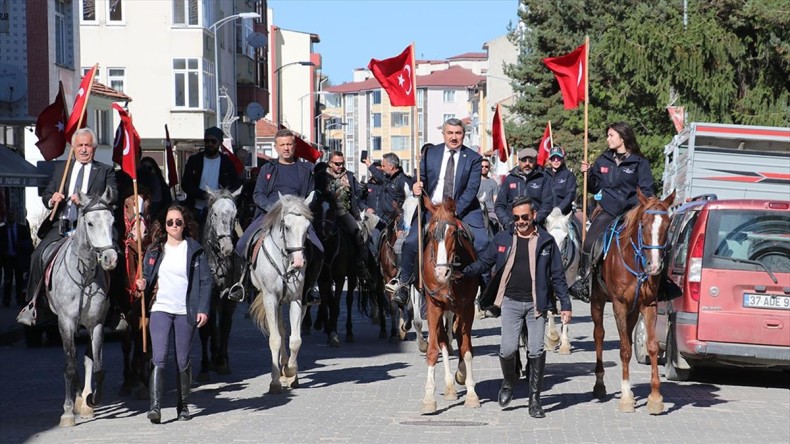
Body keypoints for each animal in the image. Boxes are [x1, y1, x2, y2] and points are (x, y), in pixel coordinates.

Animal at [46, 190, 117, 426]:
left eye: (112, 221)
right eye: (90, 223)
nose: (110, 258)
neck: (84, 277)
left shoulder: (96, 323)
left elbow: (97, 366)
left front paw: (91, 399)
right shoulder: (66, 322)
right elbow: (69, 366)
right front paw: (68, 412)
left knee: (86, 359)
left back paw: (84, 401)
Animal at [249, 193, 314, 392]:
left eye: (307, 227)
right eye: (286, 226)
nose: (298, 262)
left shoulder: (296, 300)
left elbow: (295, 340)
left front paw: (291, 371)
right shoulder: (270, 299)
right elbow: (275, 339)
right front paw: (275, 381)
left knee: (286, 331)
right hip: (274, 302)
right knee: (280, 330)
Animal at [420, 197, 482, 412]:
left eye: (454, 233)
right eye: (431, 232)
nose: (441, 273)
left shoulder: (467, 307)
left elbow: (466, 349)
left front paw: (471, 393)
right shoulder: (434, 307)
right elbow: (433, 350)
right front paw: (428, 398)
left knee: (458, 336)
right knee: (444, 342)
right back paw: (449, 387)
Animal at [592, 187, 676, 412]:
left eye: (667, 226)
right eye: (643, 225)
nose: (654, 266)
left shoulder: (649, 305)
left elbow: (652, 346)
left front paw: (655, 398)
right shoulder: (619, 305)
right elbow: (624, 349)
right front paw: (627, 397)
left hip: (633, 310)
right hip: (598, 300)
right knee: (599, 335)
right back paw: (599, 384)